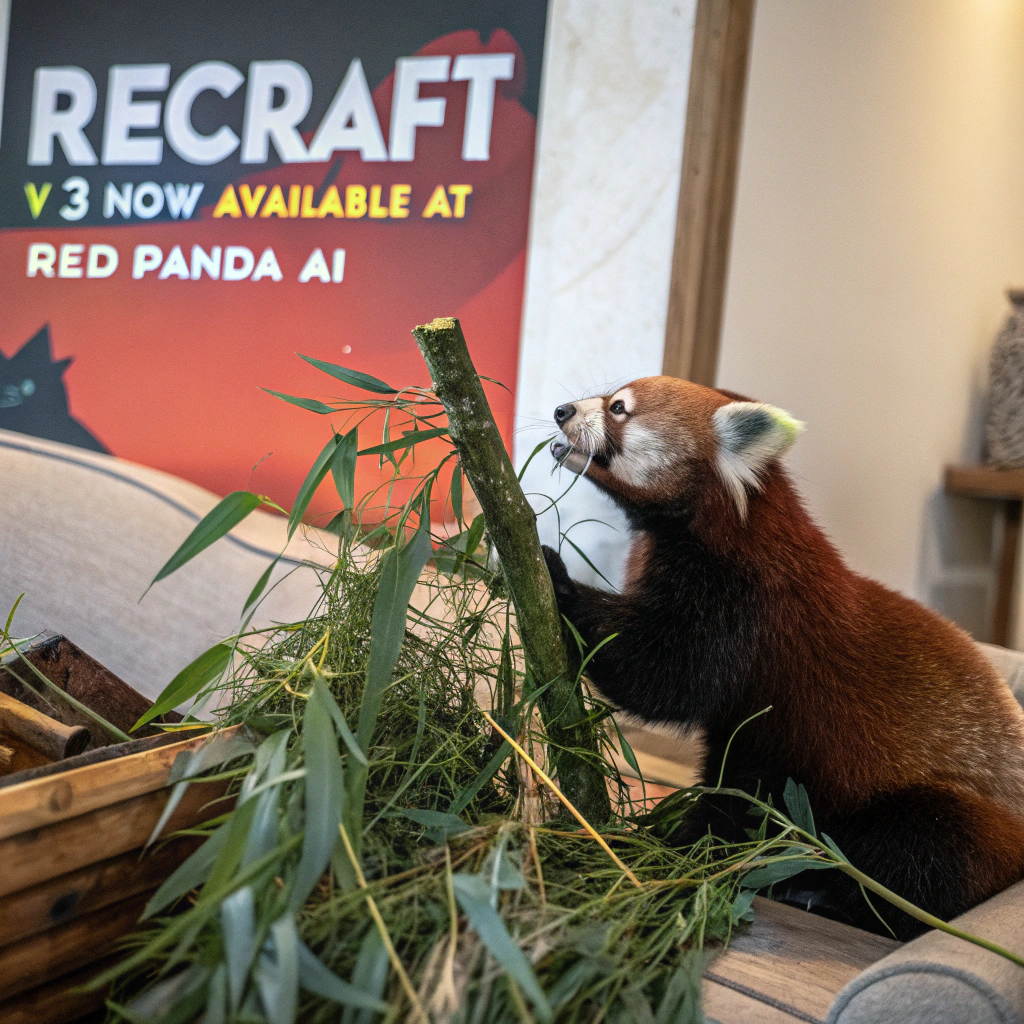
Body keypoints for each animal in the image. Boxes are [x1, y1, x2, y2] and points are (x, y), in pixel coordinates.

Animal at [540, 375, 1024, 937]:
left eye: (618, 408)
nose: (562, 410)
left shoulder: (746, 607)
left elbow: (662, 676)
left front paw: (560, 583)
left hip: (947, 814)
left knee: (924, 856)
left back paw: (825, 896)